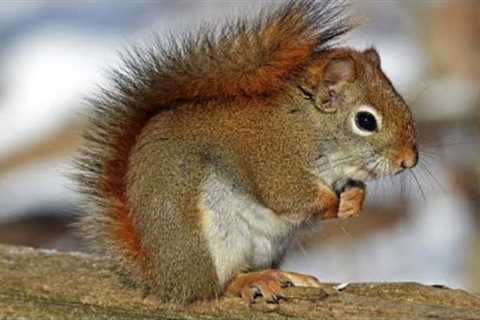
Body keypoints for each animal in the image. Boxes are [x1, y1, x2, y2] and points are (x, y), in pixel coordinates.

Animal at [74, 0, 416, 304]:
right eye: (365, 121)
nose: (409, 160)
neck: (309, 127)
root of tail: (161, 278)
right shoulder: (274, 159)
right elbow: (288, 196)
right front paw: (334, 203)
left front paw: (354, 200)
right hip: (210, 240)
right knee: (216, 287)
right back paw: (250, 281)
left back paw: (287, 276)